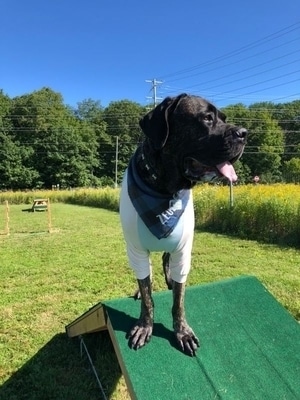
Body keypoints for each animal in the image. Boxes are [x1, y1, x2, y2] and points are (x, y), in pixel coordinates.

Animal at [119, 94, 246, 356]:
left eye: (223, 118)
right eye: (207, 118)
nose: (244, 133)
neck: (164, 190)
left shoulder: (182, 250)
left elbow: (179, 299)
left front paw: (182, 332)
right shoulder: (136, 249)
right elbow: (147, 293)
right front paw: (145, 326)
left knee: (166, 264)